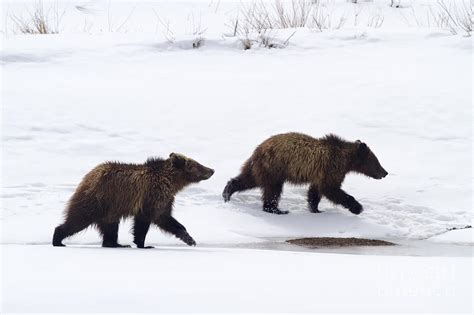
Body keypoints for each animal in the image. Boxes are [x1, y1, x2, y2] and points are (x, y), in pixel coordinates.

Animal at [52, 154, 214, 249]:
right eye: (197, 164)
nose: (211, 170)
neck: (172, 182)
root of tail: (88, 176)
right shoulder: (150, 196)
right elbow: (143, 222)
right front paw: (143, 244)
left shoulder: (164, 200)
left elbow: (166, 219)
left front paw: (189, 238)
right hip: (98, 200)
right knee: (78, 219)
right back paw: (58, 239)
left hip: (110, 210)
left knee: (110, 227)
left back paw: (115, 244)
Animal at [224, 132, 386, 216]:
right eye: (376, 161)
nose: (385, 172)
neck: (346, 160)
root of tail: (258, 149)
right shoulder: (331, 168)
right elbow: (331, 189)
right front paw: (357, 207)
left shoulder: (319, 174)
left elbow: (315, 191)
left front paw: (316, 209)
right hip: (275, 167)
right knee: (273, 189)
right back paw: (276, 209)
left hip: (262, 168)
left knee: (248, 179)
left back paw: (227, 192)